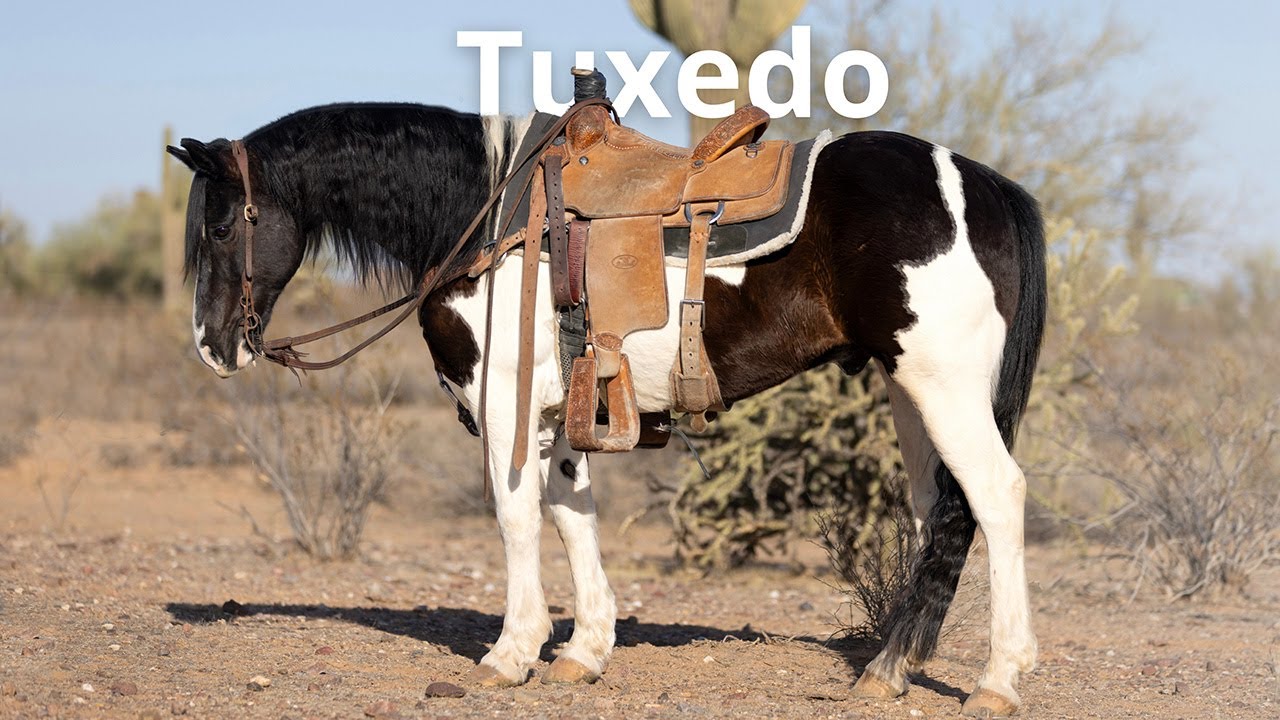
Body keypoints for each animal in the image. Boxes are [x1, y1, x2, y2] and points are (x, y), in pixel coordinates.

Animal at [168, 100, 1045, 717]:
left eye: (222, 226)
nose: (213, 347)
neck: (485, 218)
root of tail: (984, 185)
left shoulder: (507, 406)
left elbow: (518, 517)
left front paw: (511, 653)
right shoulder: (563, 412)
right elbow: (571, 513)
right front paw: (582, 651)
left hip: (943, 384)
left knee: (996, 497)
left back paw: (999, 678)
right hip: (910, 391)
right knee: (941, 512)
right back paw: (890, 670)